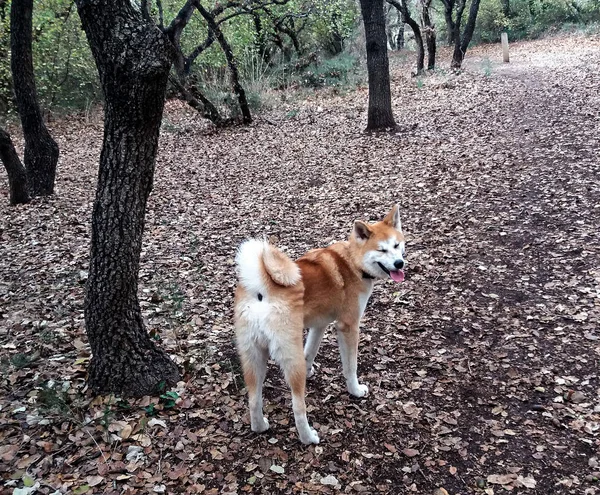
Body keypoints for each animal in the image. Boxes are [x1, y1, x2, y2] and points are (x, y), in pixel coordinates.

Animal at [232, 205, 406, 446]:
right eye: (381, 250)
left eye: (397, 246)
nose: (400, 264)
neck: (352, 262)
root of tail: (261, 289)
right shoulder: (348, 326)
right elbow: (350, 366)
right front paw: (355, 390)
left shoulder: (319, 326)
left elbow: (310, 352)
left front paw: (310, 370)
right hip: (289, 356)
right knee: (297, 407)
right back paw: (308, 437)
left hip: (254, 357)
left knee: (253, 399)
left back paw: (260, 426)